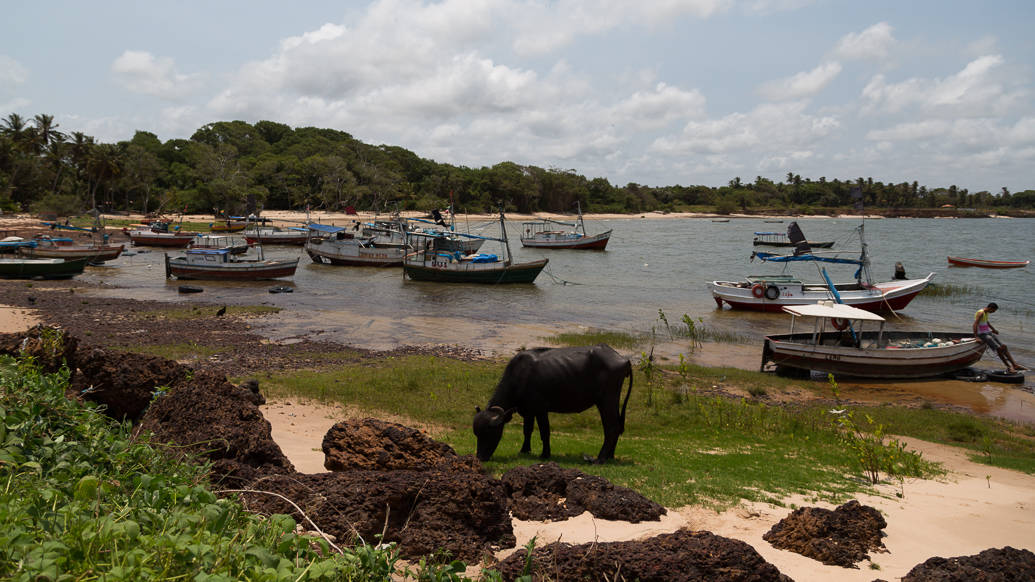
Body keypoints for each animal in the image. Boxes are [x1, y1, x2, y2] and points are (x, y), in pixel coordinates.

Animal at [474, 343, 633, 461]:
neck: (521, 376)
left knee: (611, 427)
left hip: (606, 400)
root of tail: (623, 359)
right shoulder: (528, 411)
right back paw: (610, 456)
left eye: (488, 433)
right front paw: (524, 450)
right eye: (476, 434)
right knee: (616, 426)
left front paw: (545, 454)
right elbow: (527, 430)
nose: (480, 457)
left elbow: (545, 432)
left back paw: (600, 458)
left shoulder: (541, 409)